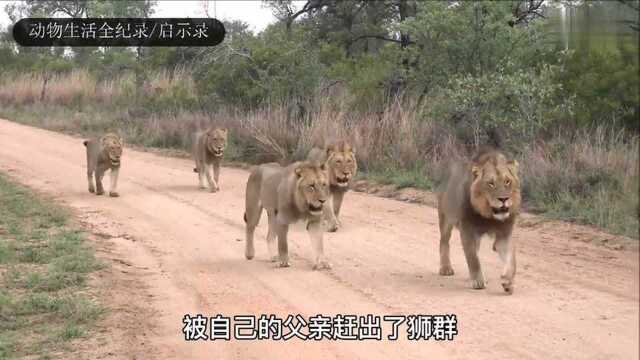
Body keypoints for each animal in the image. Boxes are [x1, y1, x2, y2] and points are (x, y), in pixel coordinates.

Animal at [438, 148, 524, 294]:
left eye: (507, 181)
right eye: (491, 183)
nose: (503, 199)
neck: (490, 216)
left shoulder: (504, 235)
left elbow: (512, 260)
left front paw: (507, 281)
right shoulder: (468, 231)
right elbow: (473, 258)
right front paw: (478, 281)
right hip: (446, 217)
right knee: (443, 242)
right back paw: (446, 268)